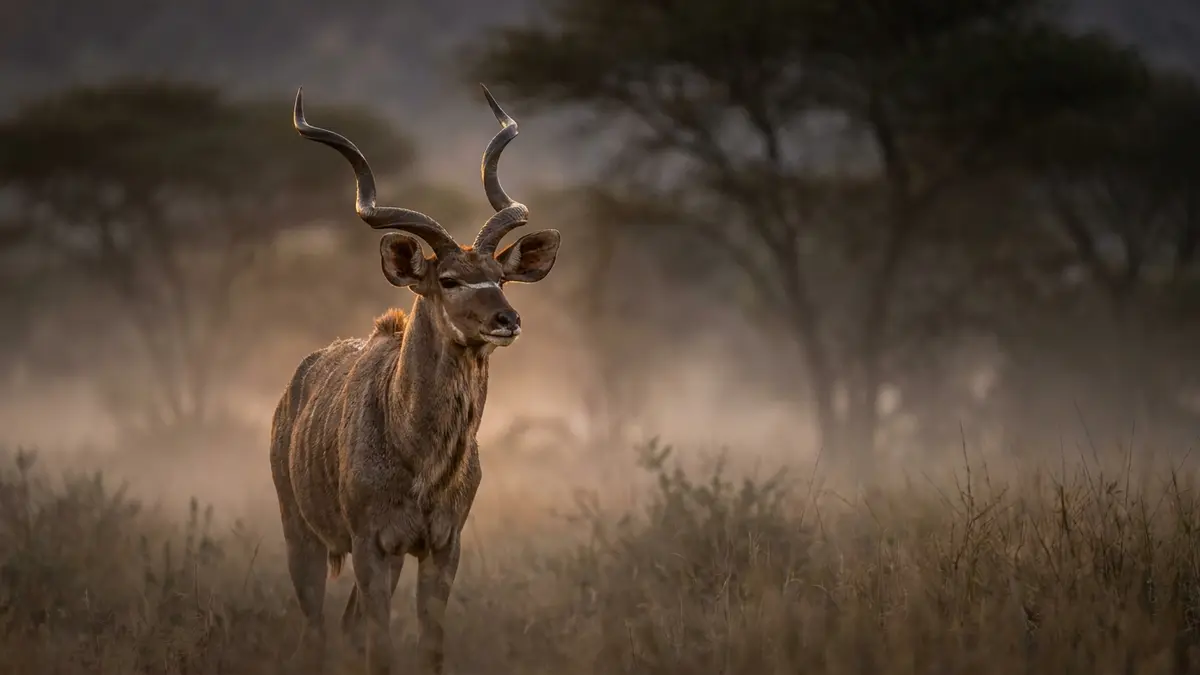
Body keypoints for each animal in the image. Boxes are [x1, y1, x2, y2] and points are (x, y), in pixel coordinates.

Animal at [269, 85, 560, 675]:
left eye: (500, 277)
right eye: (447, 279)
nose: (507, 319)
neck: (418, 454)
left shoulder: (441, 546)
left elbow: (430, 646)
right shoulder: (371, 545)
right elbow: (380, 648)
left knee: (344, 626)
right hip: (301, 534)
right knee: (316, 631)